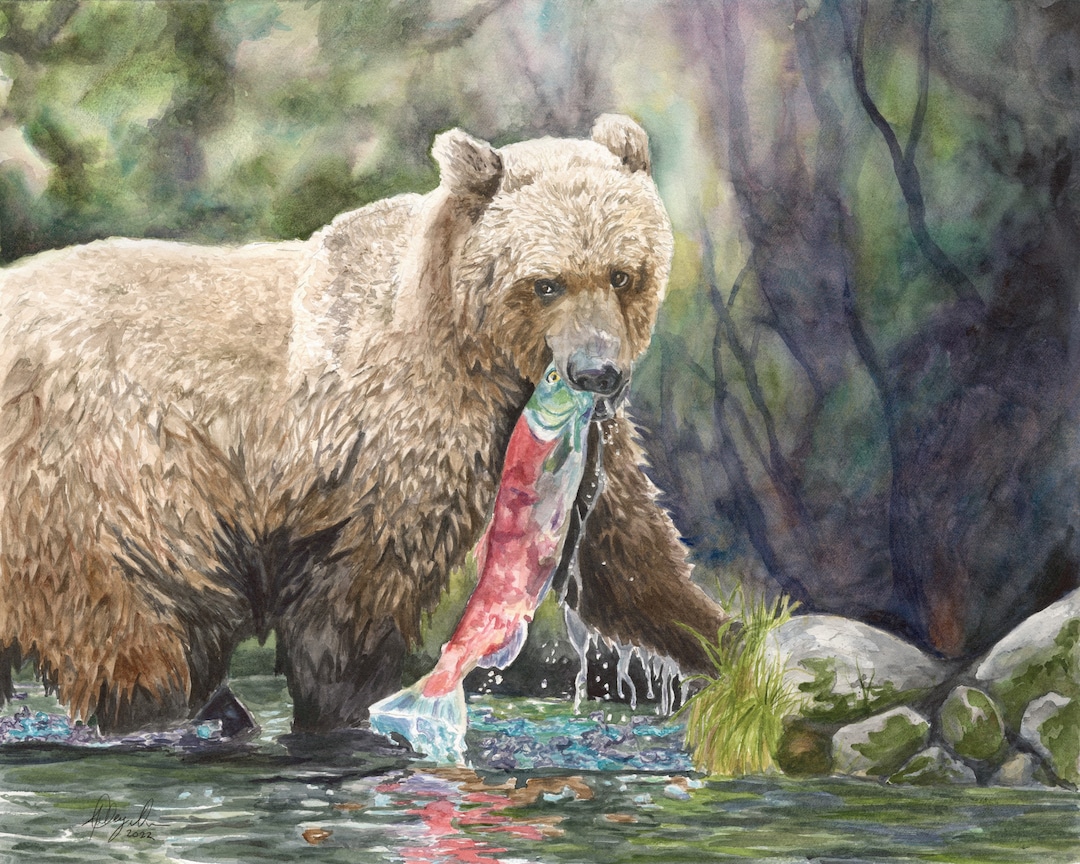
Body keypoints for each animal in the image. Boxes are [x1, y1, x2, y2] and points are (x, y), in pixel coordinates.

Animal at [0, 114, 729, 733]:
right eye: (546, 282)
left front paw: (724, 640)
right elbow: (358, 595)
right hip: (101, 480)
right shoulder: (392, 437)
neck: (475, 348)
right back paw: (182, 712)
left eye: (622, 274)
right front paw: (348, 709)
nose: (596, 372)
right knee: (134, 627)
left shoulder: (583, 441)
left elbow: (628, 558)